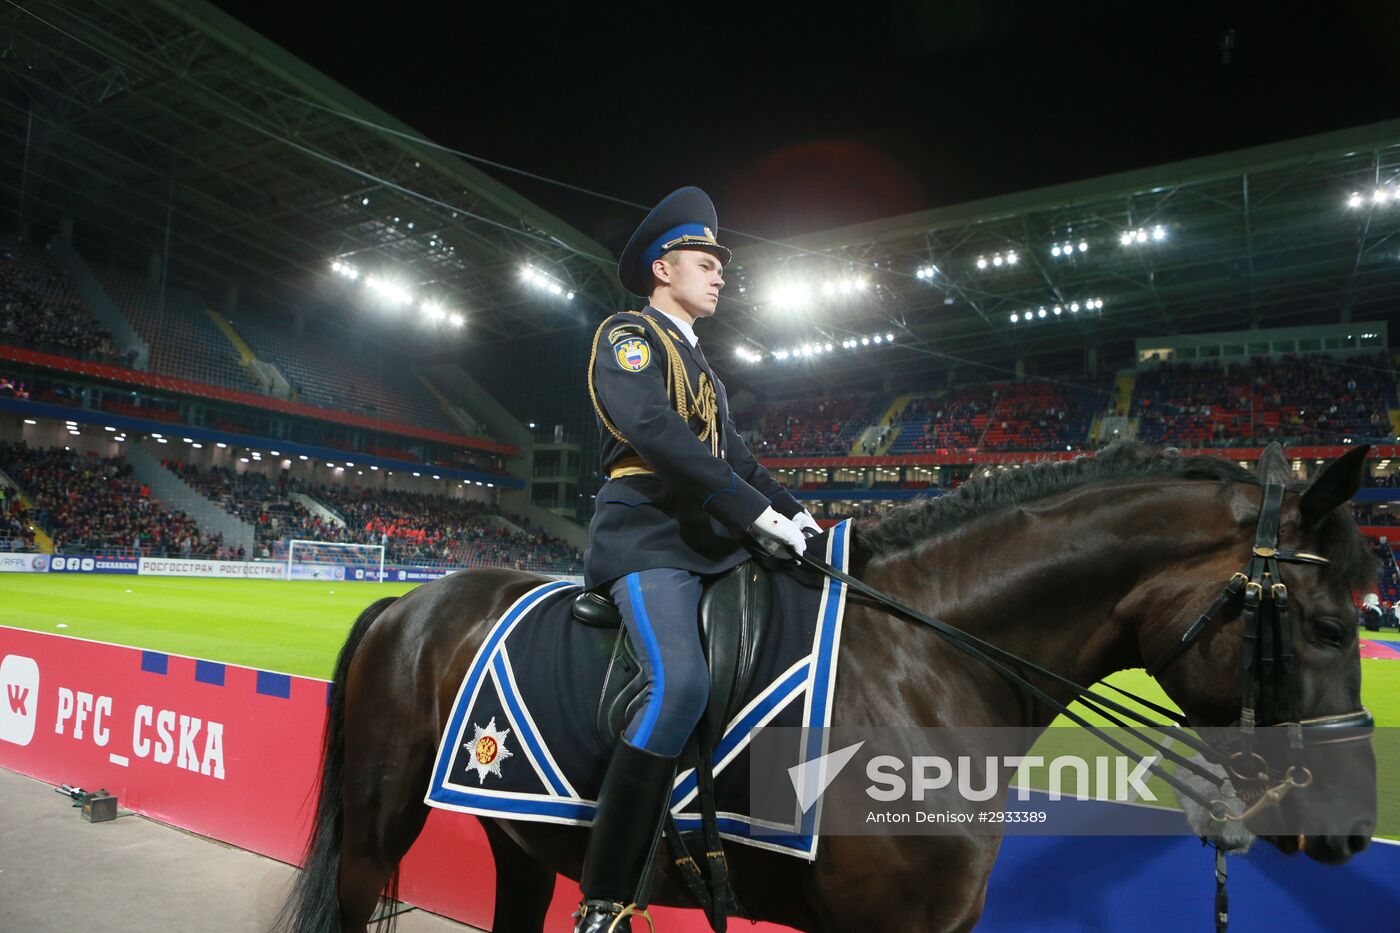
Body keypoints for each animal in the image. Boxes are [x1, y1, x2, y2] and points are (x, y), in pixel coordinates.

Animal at [273, 442, 1377, 930]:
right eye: (1329, 624)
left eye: (1370, 617)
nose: (1351, 828)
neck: (929, 664)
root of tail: (411, 601)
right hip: (377, 827)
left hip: (523, 837)